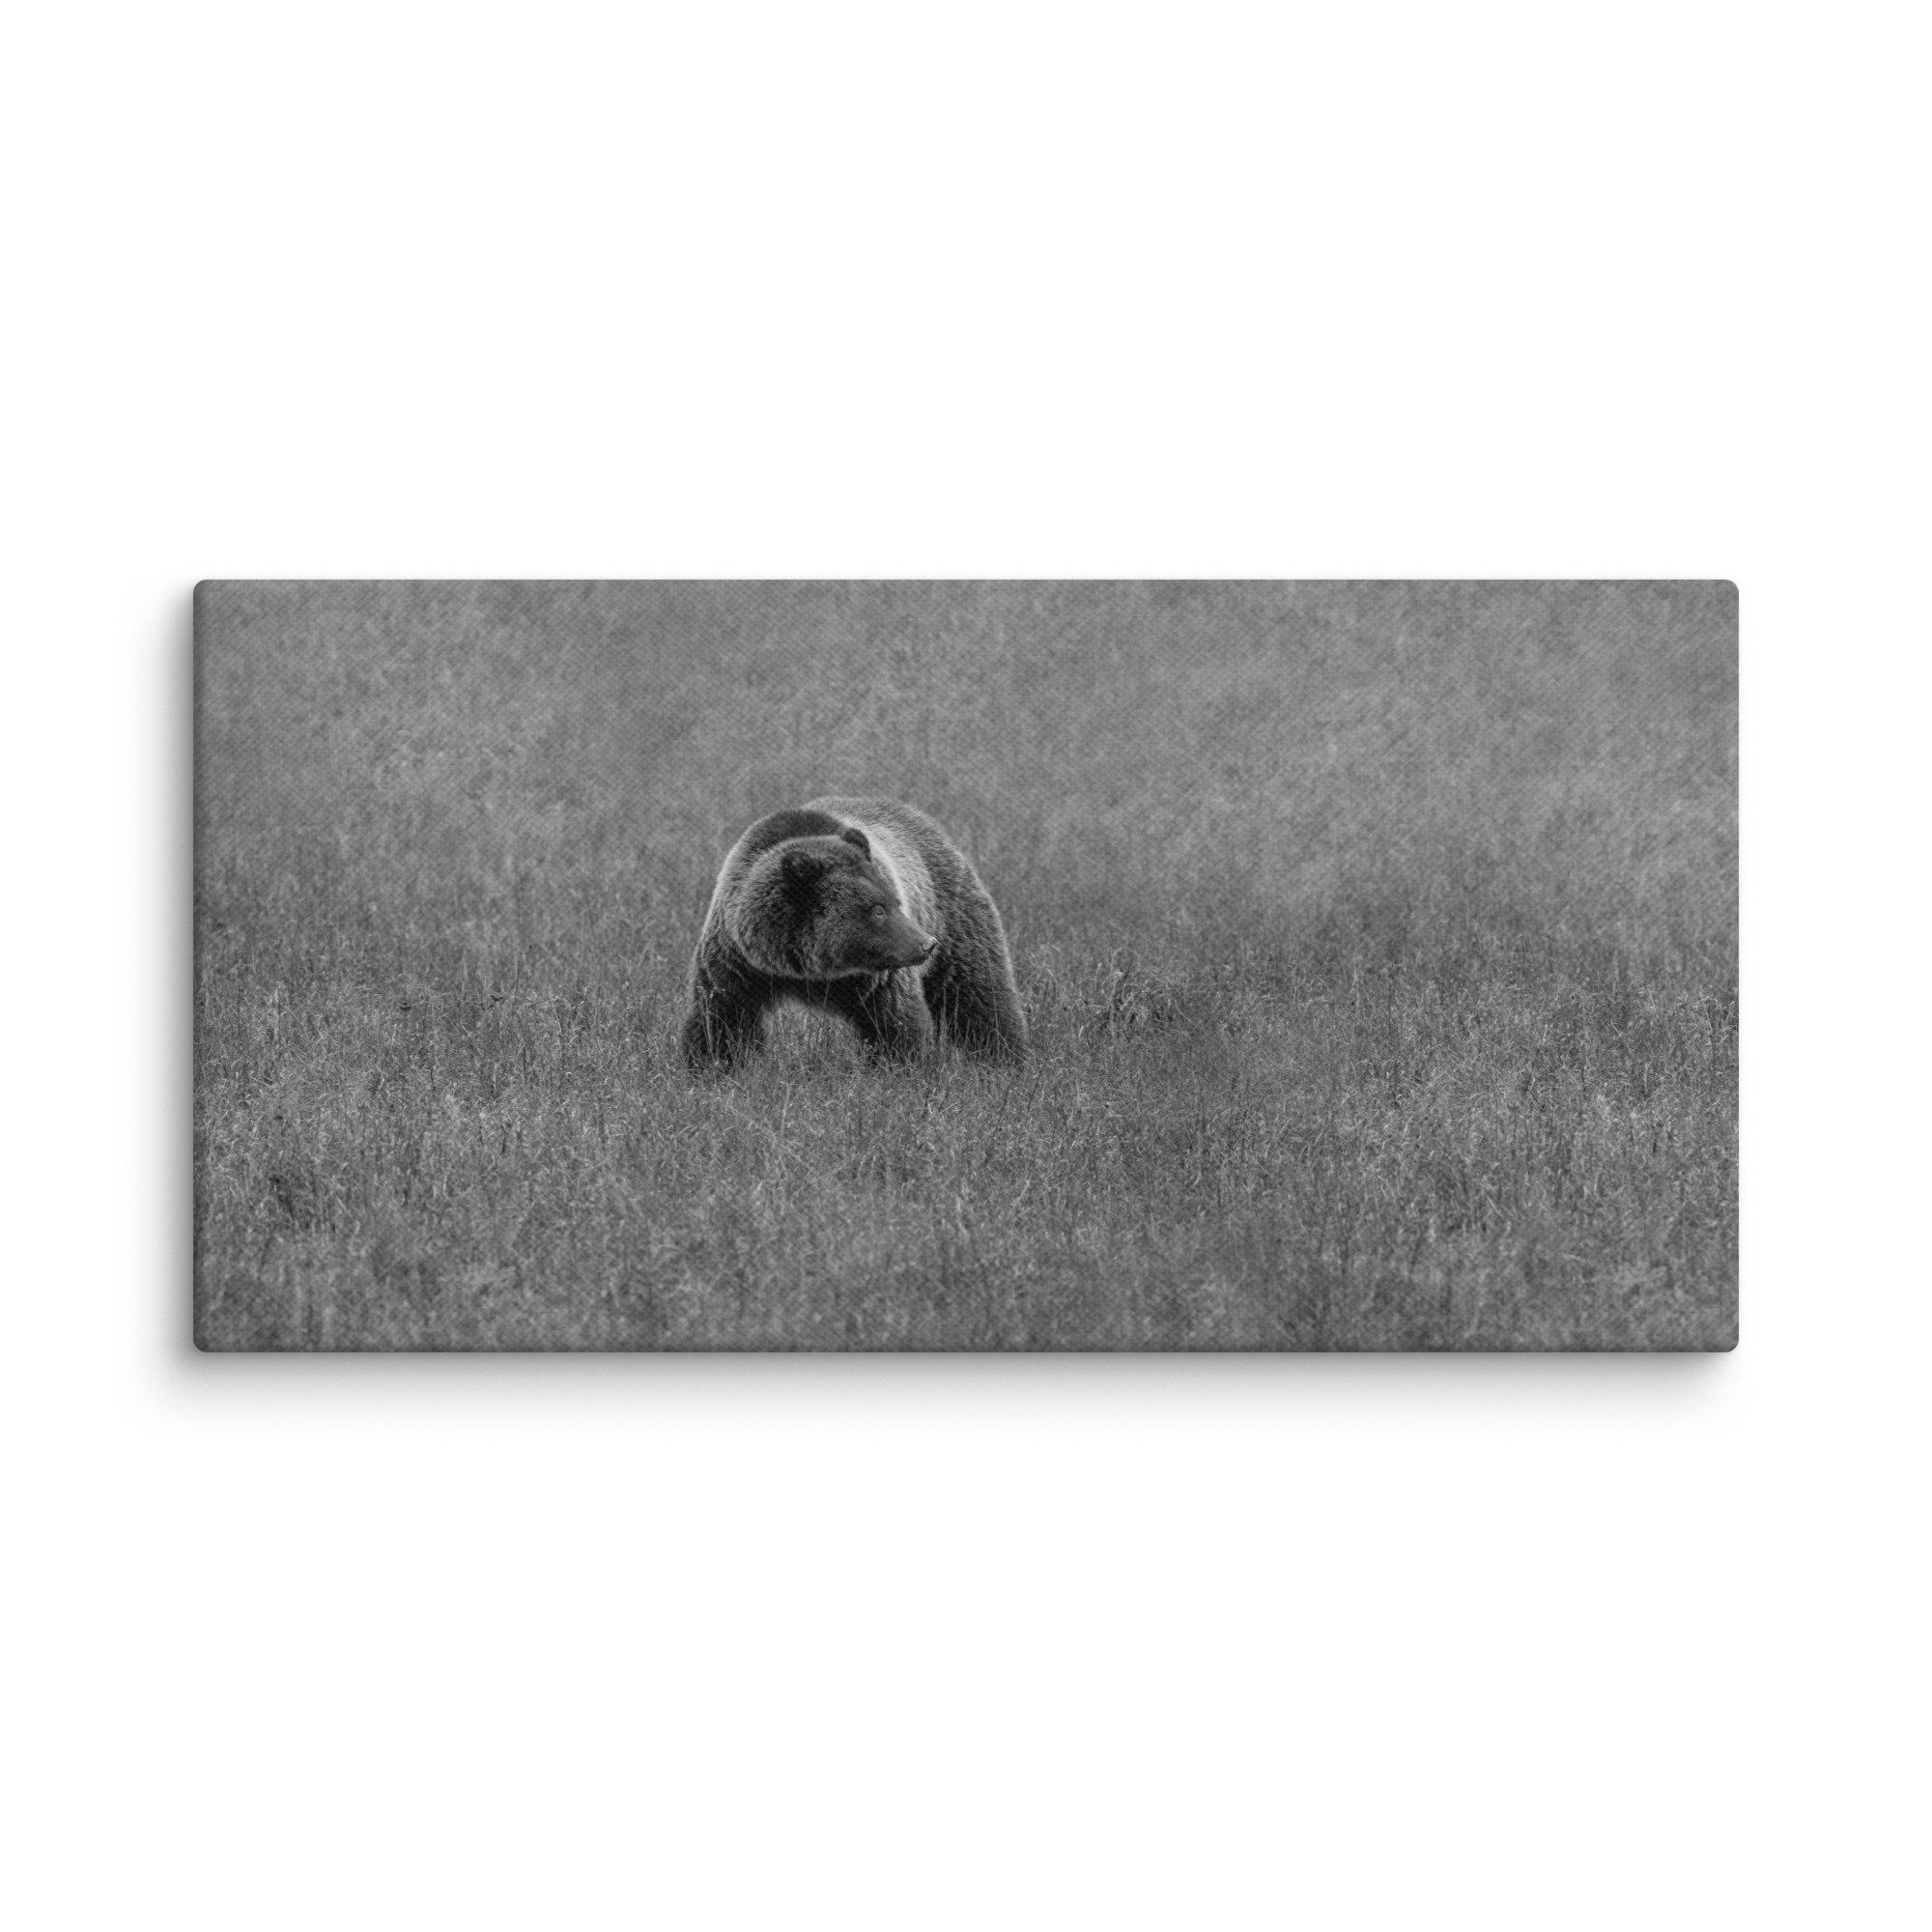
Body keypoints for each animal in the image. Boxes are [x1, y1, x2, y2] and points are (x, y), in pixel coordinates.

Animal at [681, 796, 1027, 1068]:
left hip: (953, 914)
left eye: (895, 902)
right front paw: (713, 1068)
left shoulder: (878, 978)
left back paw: (1005, 1058)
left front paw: (901, 1069)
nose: (926, 944)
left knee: (977, 992)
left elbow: (895, 1023)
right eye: (877, 910)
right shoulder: (738, 962)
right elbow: (722, 1020)